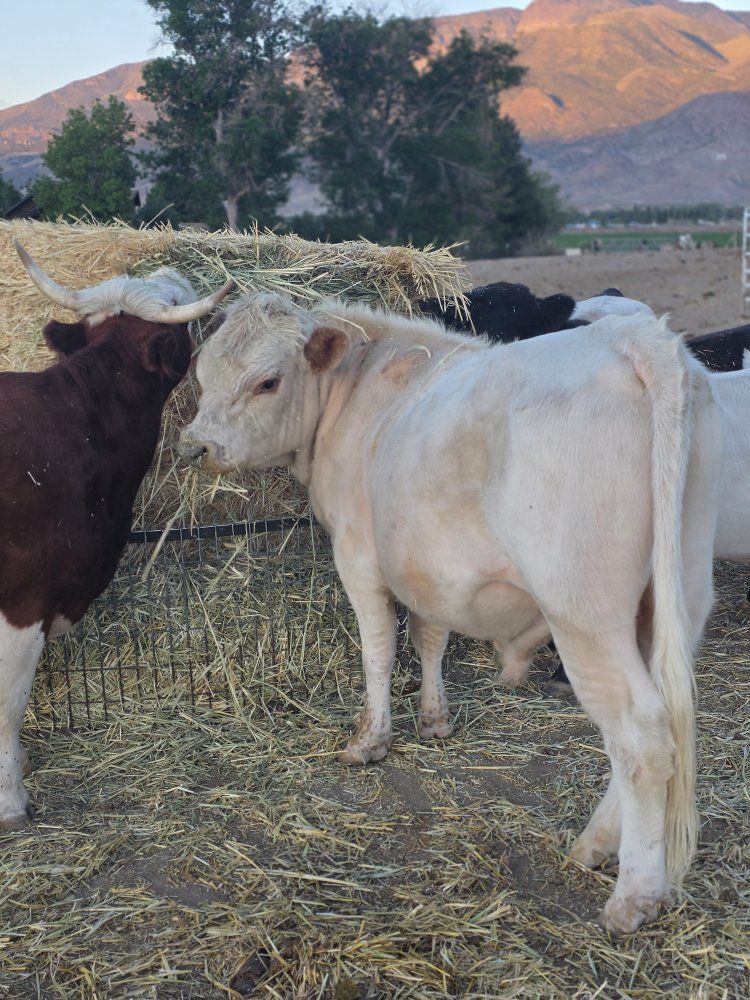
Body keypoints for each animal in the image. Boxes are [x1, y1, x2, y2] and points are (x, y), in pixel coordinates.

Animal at [178, 292, 722, 934]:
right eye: (201, 372)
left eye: (267, 381)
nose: (195, 446)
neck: (356, 393)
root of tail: (631, 339)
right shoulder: (428, 564)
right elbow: (430, 637)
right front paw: (434, 719)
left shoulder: (358, 555)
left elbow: (380, 650)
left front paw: (369, 740)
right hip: (674, 595)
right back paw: (593, 844)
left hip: (583, 610)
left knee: (641, 735)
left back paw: (634, 894)